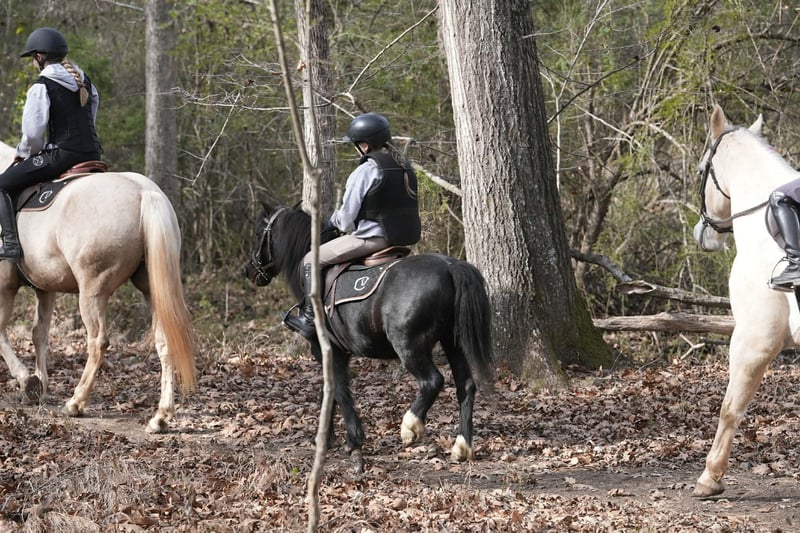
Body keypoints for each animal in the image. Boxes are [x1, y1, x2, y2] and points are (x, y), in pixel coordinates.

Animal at [0, 141, 196, 433]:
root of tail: (144, 192)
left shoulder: (5, 287)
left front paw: (28, 381)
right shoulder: (46, 289)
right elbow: (39, 334)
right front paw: (39, 387)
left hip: (92, 291)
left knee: (97, 342)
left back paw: (76, 402)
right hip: (151, 291)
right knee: (164, 341)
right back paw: (160, 417)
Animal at [244, 202, 494, 470]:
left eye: (259, 234)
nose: (247, 271)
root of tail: (449, 267)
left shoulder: (325, 349)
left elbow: (338, 389)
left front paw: (352, 440)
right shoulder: (337, 353)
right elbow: (330, 391)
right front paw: (325, 438)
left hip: (409, 346)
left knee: (432, 381)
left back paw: (409, 427)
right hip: (452, 343)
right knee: (465, 386)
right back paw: (462, 447)